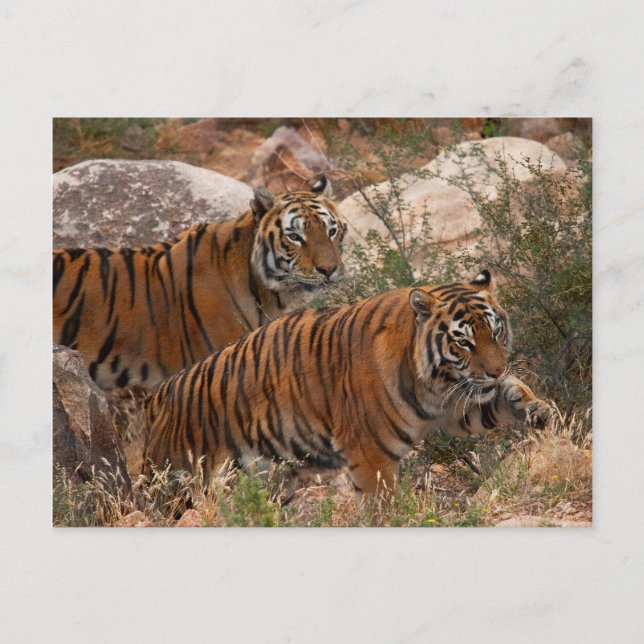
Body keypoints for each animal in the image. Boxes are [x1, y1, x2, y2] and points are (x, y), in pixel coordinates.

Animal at [143, 270, 551, 497]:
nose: (497, 370)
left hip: (273, 480)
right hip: (181, 485)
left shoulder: (456, 405)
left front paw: (537, 409)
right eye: (464, 341)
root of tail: (160, 395)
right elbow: (380, 504)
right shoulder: (370, 452)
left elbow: (505, 399)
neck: (434, 381)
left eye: (496, 332)